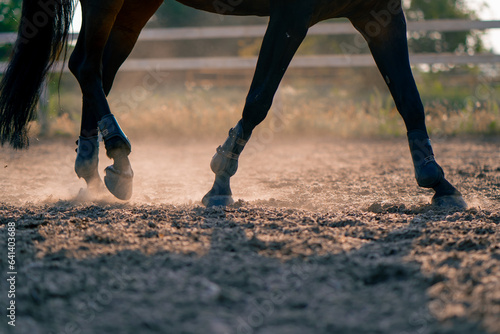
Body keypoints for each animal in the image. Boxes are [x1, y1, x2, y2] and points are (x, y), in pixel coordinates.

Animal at [0, 0, 466, 209]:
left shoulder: (381, 13)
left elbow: (410, 100)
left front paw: (438, 182)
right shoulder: (291, 16)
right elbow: (259, 99)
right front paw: (221, 178)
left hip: (136, 4)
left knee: (99, 68)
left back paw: (96, 170)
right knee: (85, 65)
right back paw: (118, 153)